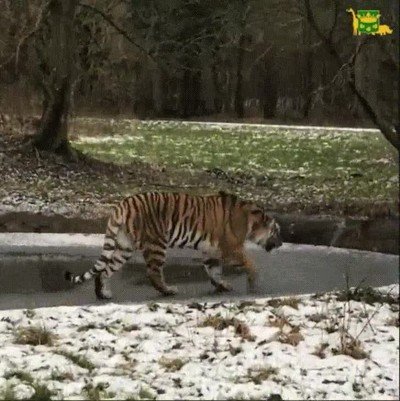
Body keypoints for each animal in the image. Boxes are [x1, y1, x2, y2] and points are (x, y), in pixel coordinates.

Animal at [65, 191, 282, 300]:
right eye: (277, 231)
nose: (281, 243)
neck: (251, 221)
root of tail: (123, 205)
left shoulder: (210, 251)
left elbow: (214, 271)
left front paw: (222, 285)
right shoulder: (231, 248)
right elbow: (250, 263)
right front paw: (254, 283)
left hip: (123, 247)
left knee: (105, 270)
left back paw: (103, 294)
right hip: (156, 245)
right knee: (152, 273)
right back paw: (168, 290)